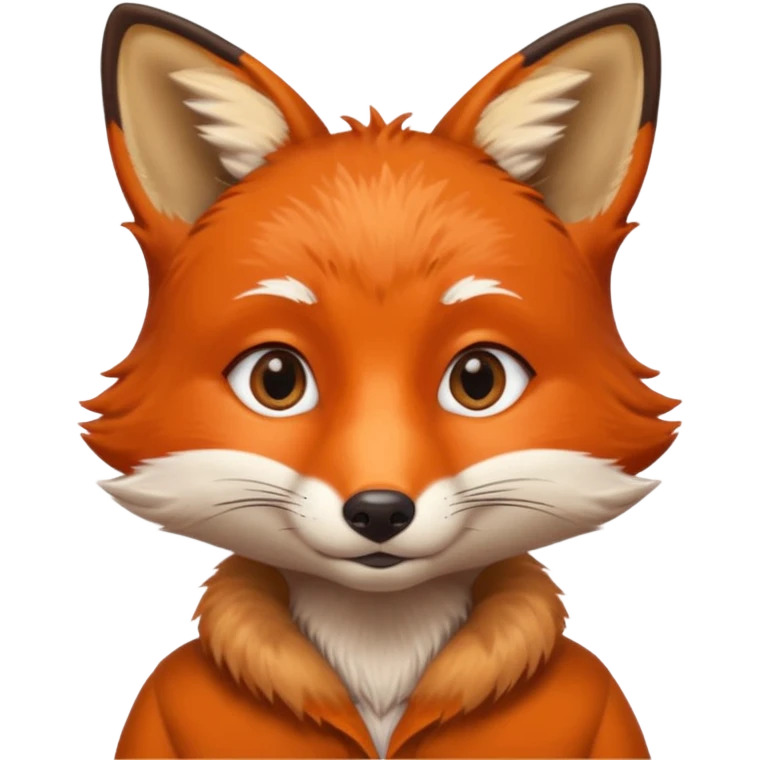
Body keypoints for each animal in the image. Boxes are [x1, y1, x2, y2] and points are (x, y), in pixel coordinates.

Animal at [88, 2, 677, 758]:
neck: (380, 665)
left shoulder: (605, 708)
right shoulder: (155, 710)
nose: (377, 512)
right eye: (276, 379)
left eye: (479, 379)